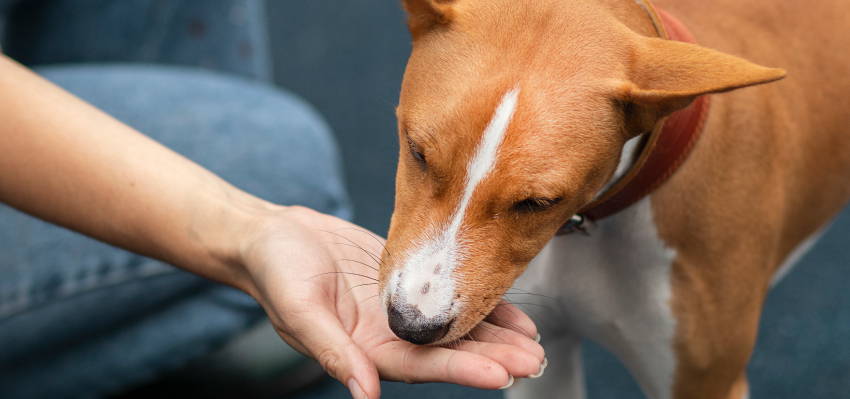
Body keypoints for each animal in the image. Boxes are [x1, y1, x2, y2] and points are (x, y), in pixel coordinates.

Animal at [378, 1, 848, 398]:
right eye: (418, 152)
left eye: (539, 203)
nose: (411, 325)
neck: (591, 222)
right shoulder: (543, 355)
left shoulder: (706, 385)